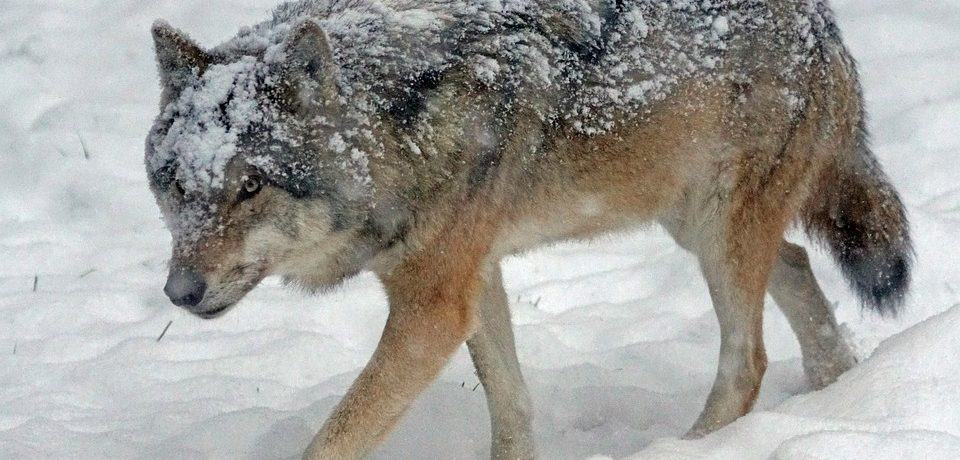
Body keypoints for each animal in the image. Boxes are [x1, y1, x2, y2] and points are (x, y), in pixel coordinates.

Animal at [146, 0, 911, 458]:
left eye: (251, 187)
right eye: (177, 185)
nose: (180, 293)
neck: (397, 130)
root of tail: (822, 19)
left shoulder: (432, 306)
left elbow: (334, 439)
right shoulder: (471, 280)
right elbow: (511, 404)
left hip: (720, 234)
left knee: (746, 361)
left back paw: (687, 447)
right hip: (693, 222)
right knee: (799, 267)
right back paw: (838, 393)